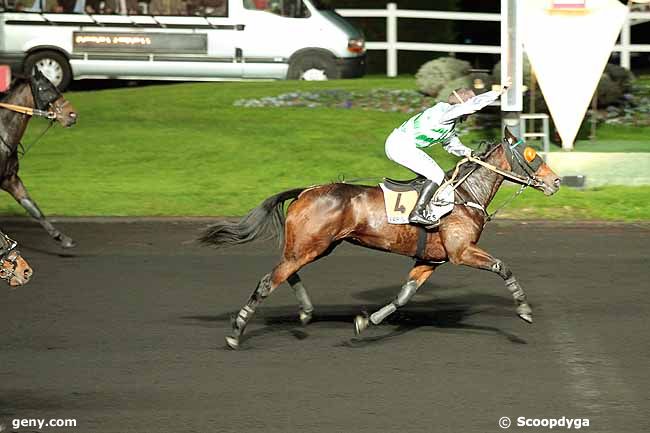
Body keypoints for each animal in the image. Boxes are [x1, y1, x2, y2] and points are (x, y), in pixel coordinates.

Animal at [200, 128, 560, 348]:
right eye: (531, 155)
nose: (556, 181)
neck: (464, 195)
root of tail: (305, 190)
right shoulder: (462, 252)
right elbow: (503, 267)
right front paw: (524, 310)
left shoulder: (431, 259)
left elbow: (403, 296)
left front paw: (366, 321)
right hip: (311, 245)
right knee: (269, 281)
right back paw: (236, 334)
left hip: (316, 246)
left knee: (286, 272)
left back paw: (305, 311)